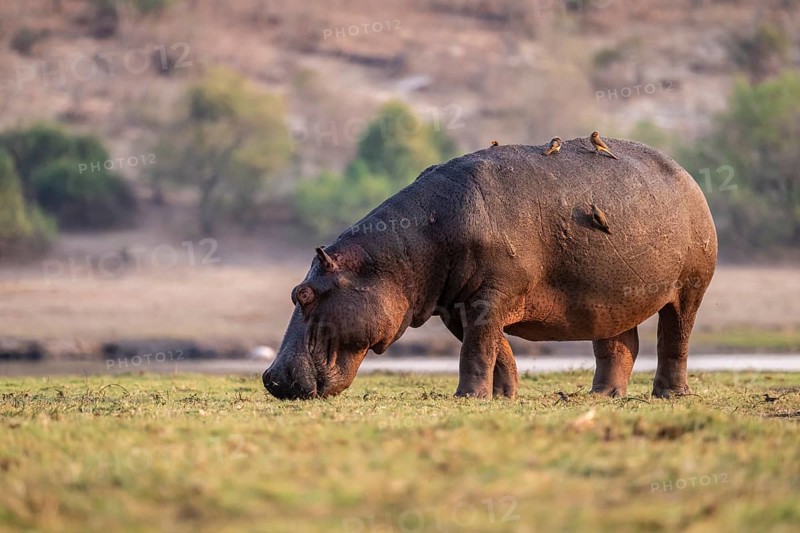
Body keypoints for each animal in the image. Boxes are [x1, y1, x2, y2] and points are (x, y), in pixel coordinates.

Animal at [263, 138, 717, 399]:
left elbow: (477, 350)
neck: (396, 258)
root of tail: (685, 174)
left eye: (303, 295)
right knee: (618, 346)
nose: (270, 378)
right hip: (608, 299)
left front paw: (468, 398)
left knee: (675, 339)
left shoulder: (490, 297)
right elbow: (495, 349)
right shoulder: (457, 306)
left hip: (690, 288)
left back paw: (670, 395)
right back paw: (602, 396)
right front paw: (502, 396)